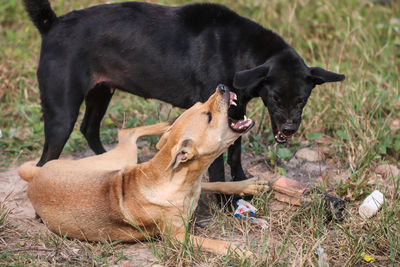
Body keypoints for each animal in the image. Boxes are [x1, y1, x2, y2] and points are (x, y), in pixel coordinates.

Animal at [18, 85, 266, 258]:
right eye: (208, 117)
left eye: (201, 105)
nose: (222, 86)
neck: (178, 176)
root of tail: (36, 174)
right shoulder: (177, 237)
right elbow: (218, 243)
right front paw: (244, 253)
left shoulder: (196, 185)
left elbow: (216, 184)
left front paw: (249, 185)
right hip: (120, 158)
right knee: (126, 132)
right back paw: (166, 123)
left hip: (116, 162)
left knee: (130, 132)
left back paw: (167, 124)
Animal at [24, 0, 344, 184]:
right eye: (276, 99)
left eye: (302, 100)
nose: (289, 129)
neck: (240, 51)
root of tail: (52, 25)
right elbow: (217, 166)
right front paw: (225, 199)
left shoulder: (237, 111)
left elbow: (235, 154)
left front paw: (241, 182)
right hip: (61, 112)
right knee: (46, 159)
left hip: (101, 92)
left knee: (89, 128)